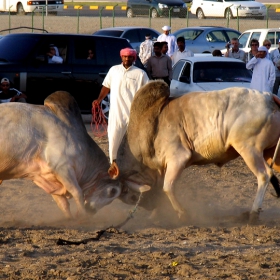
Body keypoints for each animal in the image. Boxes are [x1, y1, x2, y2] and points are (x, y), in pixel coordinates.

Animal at [0, 91, 122, 219]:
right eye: (113, 191)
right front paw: (83, 216)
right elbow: (78, 192)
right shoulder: (62, 168)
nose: (92, 211)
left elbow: (63, 203)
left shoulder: (47, 176)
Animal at [110, 81, 280, 223]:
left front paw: (182, 214)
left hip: (249, 150)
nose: (151, 206)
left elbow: (167, 187)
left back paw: (253, 214)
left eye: (132, 197)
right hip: (267, 153)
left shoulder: (178, 158)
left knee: (264, 175)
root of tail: (269, 97)